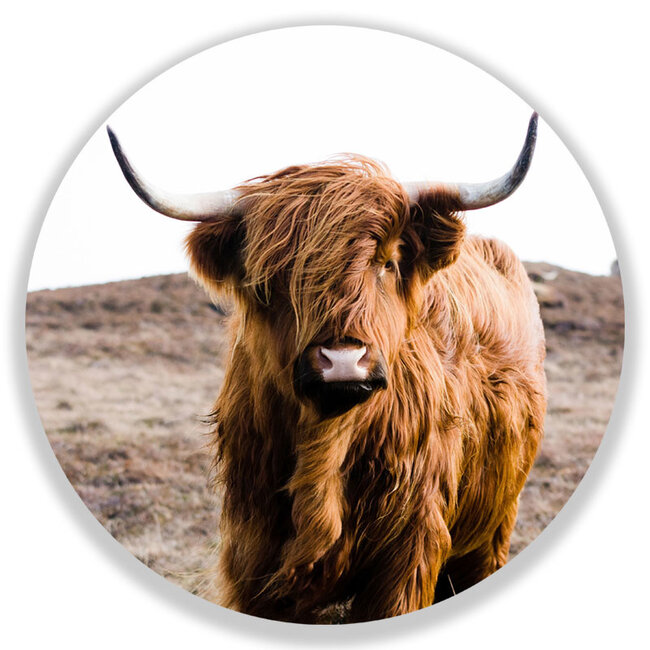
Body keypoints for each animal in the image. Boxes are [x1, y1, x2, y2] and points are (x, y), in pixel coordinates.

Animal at [107, 113, 546, 623]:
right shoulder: (252, 553)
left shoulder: (408, 553)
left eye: (388, 262)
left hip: (494, 526)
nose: (342, 361)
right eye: (271, 277)